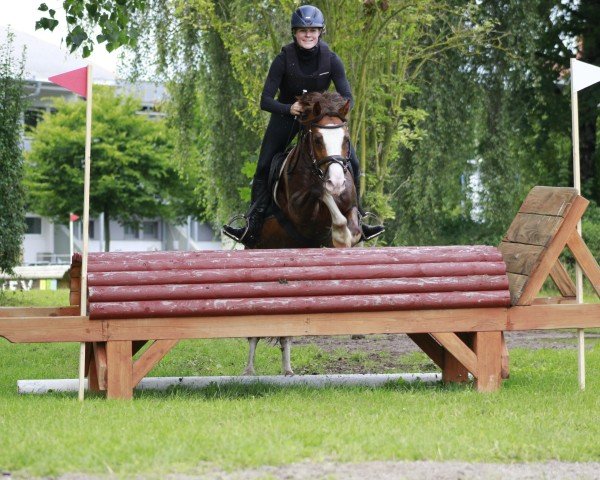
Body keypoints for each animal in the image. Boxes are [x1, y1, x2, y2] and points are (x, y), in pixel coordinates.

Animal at [241, 92, 364, 376]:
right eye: (317, 139)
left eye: (346, 140)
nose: (338, 182)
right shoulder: (300, 212)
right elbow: (321, 192)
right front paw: (338, 231)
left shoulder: (350, 207)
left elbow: (350, 224)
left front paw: (343, 239)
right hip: (256, 251)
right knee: (254, 331)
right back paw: (249, 370)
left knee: (285, 332)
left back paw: (288, 370)